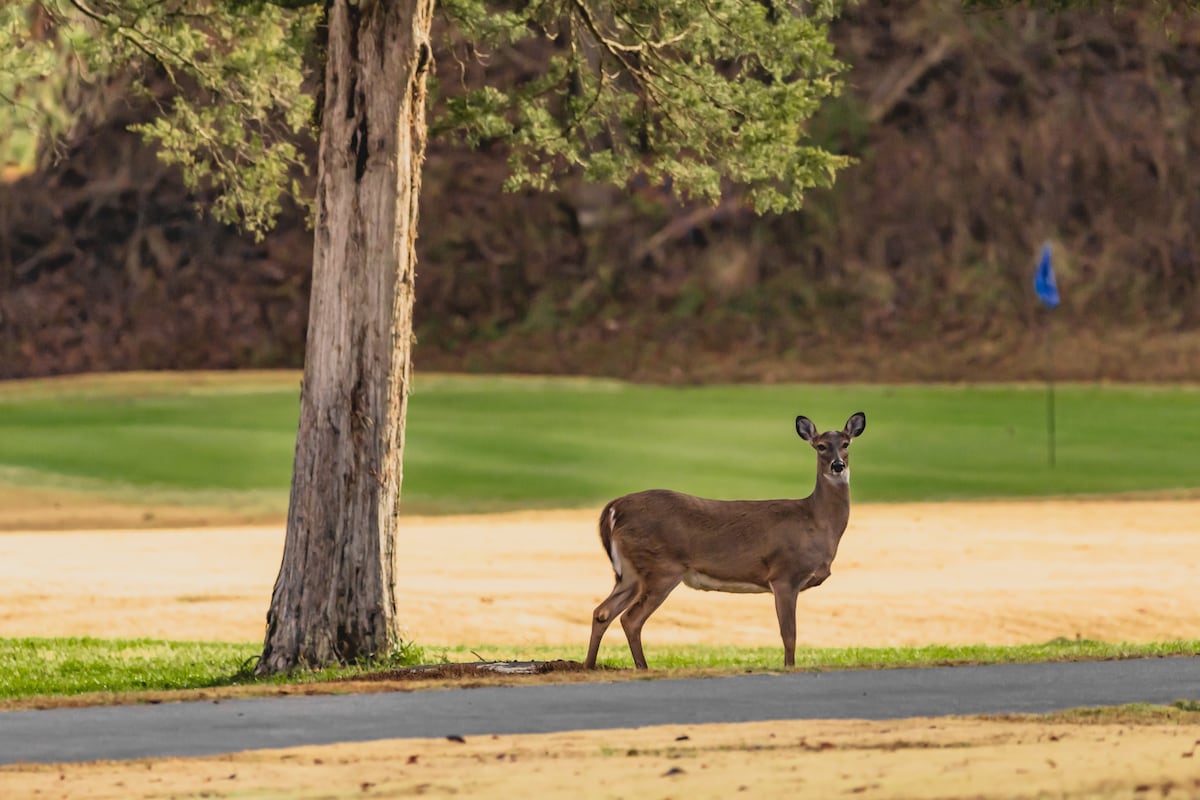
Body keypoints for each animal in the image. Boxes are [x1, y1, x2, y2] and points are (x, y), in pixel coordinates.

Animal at [585, 412, 868, 671]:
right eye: (821, 446)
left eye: (846, 443)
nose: (838, 466)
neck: (816, 521)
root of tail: (614, 508)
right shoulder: (784, 574)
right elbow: (789, 634)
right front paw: (789, 667)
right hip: (661, 567)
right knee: (631, 619)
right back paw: (642, 667)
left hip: (631, 572)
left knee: (602, 612)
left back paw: (589, 666)